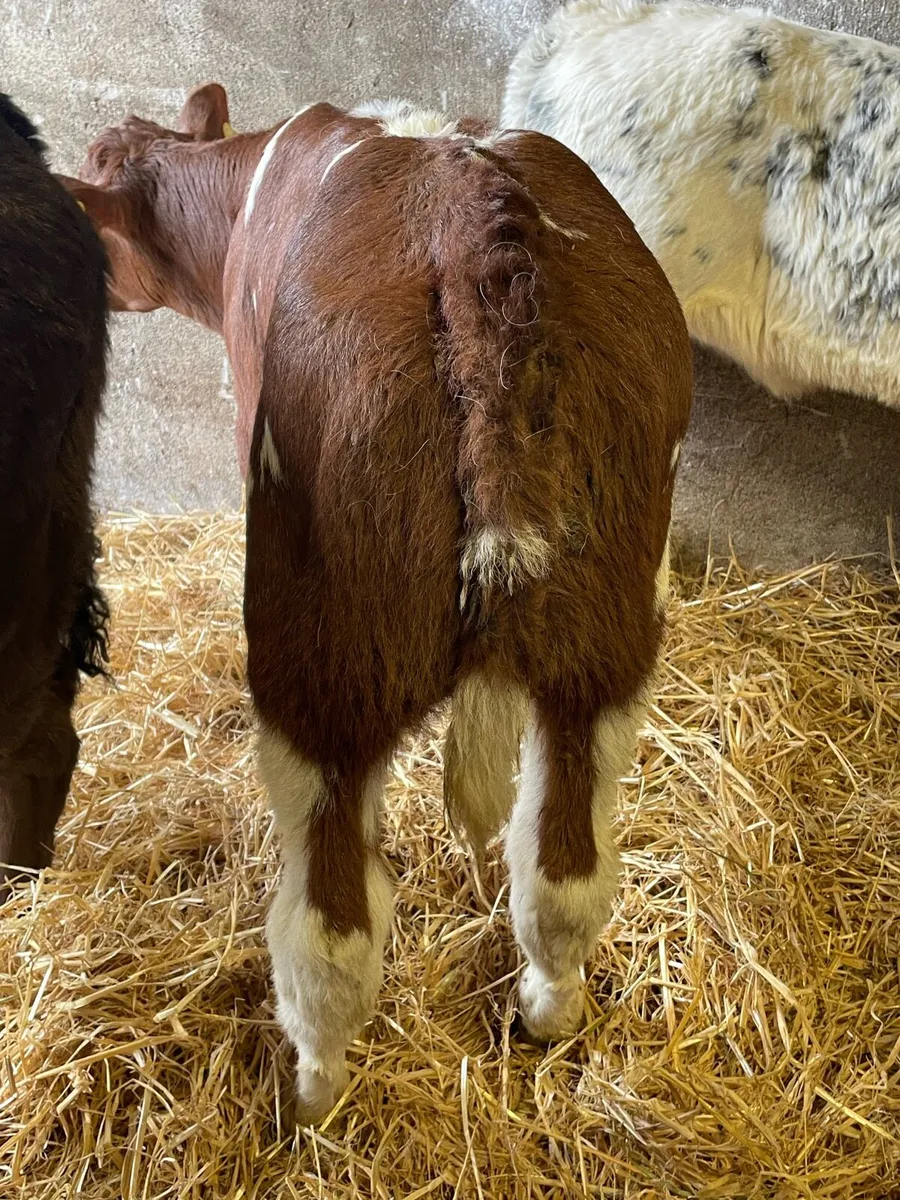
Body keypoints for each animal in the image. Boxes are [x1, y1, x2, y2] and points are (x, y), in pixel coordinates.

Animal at [63, 85, 692, 1122]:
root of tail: (480, 233)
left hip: (324, 662)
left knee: (332, 932)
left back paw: (312, 1093)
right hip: (606, 641)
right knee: (564, 875)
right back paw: (548, 1010)